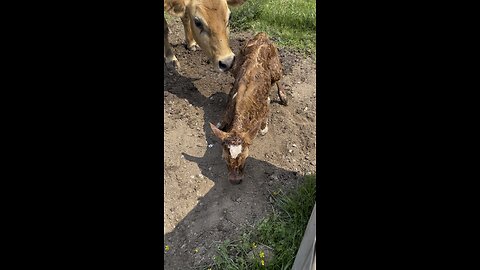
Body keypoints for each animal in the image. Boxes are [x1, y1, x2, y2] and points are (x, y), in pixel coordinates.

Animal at [209, 31, 284, 184]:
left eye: (245, 157)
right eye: (225, 157)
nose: (235, 180)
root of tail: (262, 35)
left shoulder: (263, 107)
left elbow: (266, 110)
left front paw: (263, 127)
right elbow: (220, 124)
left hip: (276, 68)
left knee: (278, 80)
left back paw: (282, 96)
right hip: (235, 66)